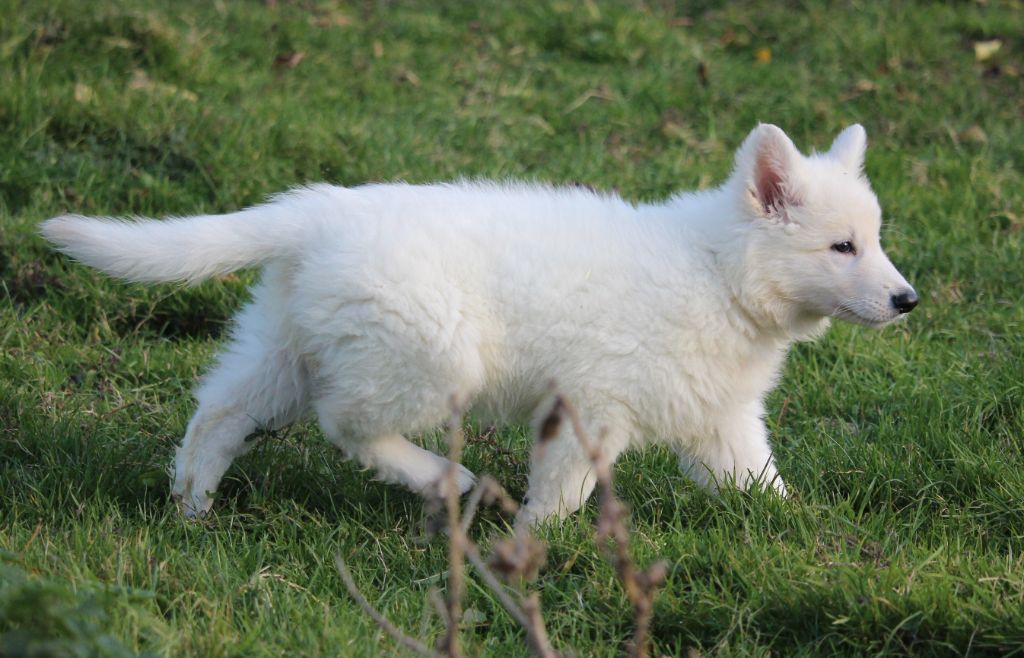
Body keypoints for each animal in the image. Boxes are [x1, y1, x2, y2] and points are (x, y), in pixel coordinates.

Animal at [41, 123, 921, 523]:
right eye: (842, 247)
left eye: (874, 240)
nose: (908, 300)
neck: (717, 270)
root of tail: (317, 213)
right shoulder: (590, 405)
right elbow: (561, 491)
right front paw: (533, 545)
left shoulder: (720, 415)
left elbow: (757, 478)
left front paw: (801, 532)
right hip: (429, 358)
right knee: (347, 425)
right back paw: (446, 479)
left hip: (286, 342)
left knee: (220, 411)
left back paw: (190, 504)